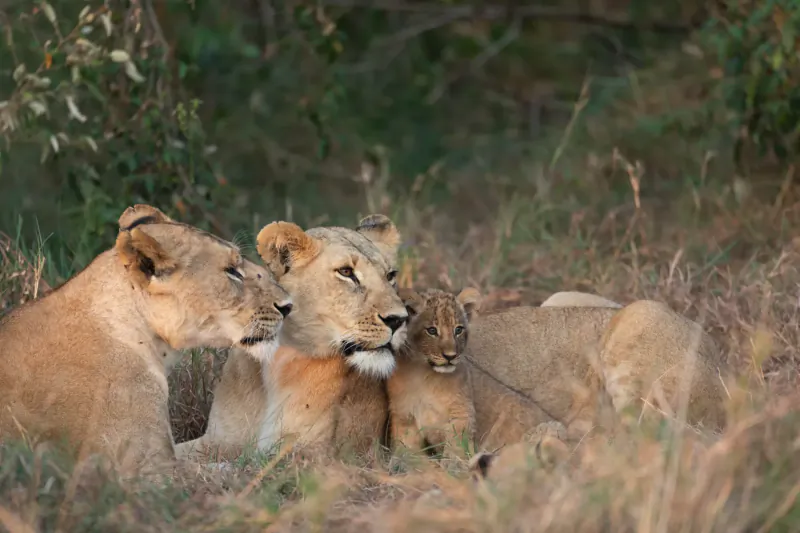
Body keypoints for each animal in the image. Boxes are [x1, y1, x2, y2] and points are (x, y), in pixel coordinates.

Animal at [175, 215, 408, 461]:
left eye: (390, 276)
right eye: (346, 272)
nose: (399, 319)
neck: (276, 359)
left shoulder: (311, 455)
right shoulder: (217, 441)